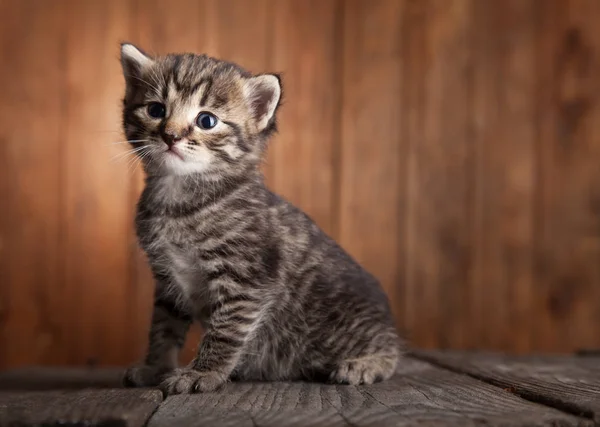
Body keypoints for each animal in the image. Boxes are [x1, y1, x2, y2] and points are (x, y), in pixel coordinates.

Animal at [119, 42, 404, 394]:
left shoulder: (247, 280)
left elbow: (224, 332)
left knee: (392, 351)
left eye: (206, 120)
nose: (170, 136)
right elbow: (163, 329)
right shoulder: (166, 282)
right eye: (156, 110)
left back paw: (365, 364)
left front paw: (202, 373)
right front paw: (155, 367)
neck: (179, 197)